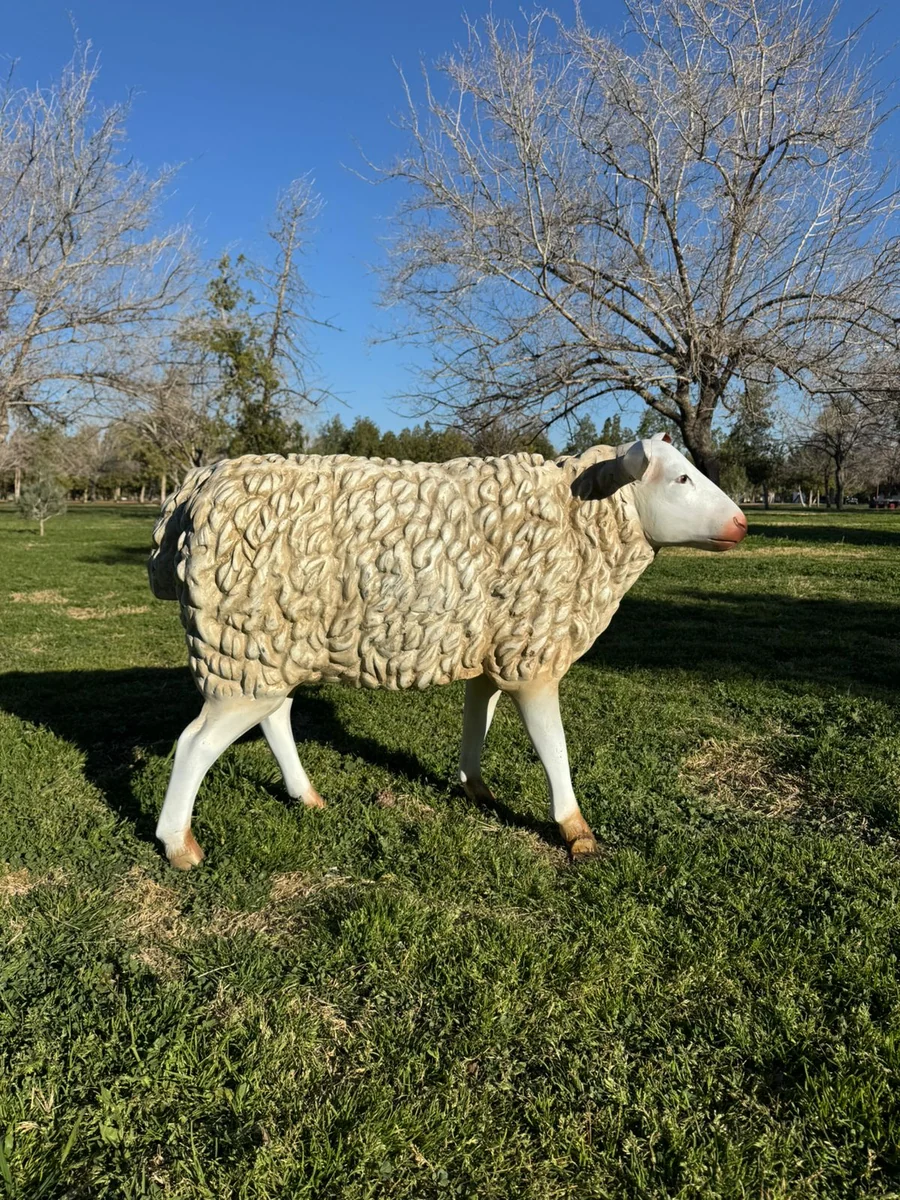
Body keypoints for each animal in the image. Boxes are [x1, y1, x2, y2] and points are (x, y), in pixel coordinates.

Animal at [148, 435, 747, 869]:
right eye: (683, 478)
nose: (742, 523)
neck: (578, 522)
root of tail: (196, 489)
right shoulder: (530, 652)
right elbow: (553, 746)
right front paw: (575, 830)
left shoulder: (491, 649)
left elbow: (478, 716)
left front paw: (475, 788)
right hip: (239, 647)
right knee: (196, 743)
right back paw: (180, 847)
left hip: (270, 644)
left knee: (275, 717)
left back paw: (306, 796)